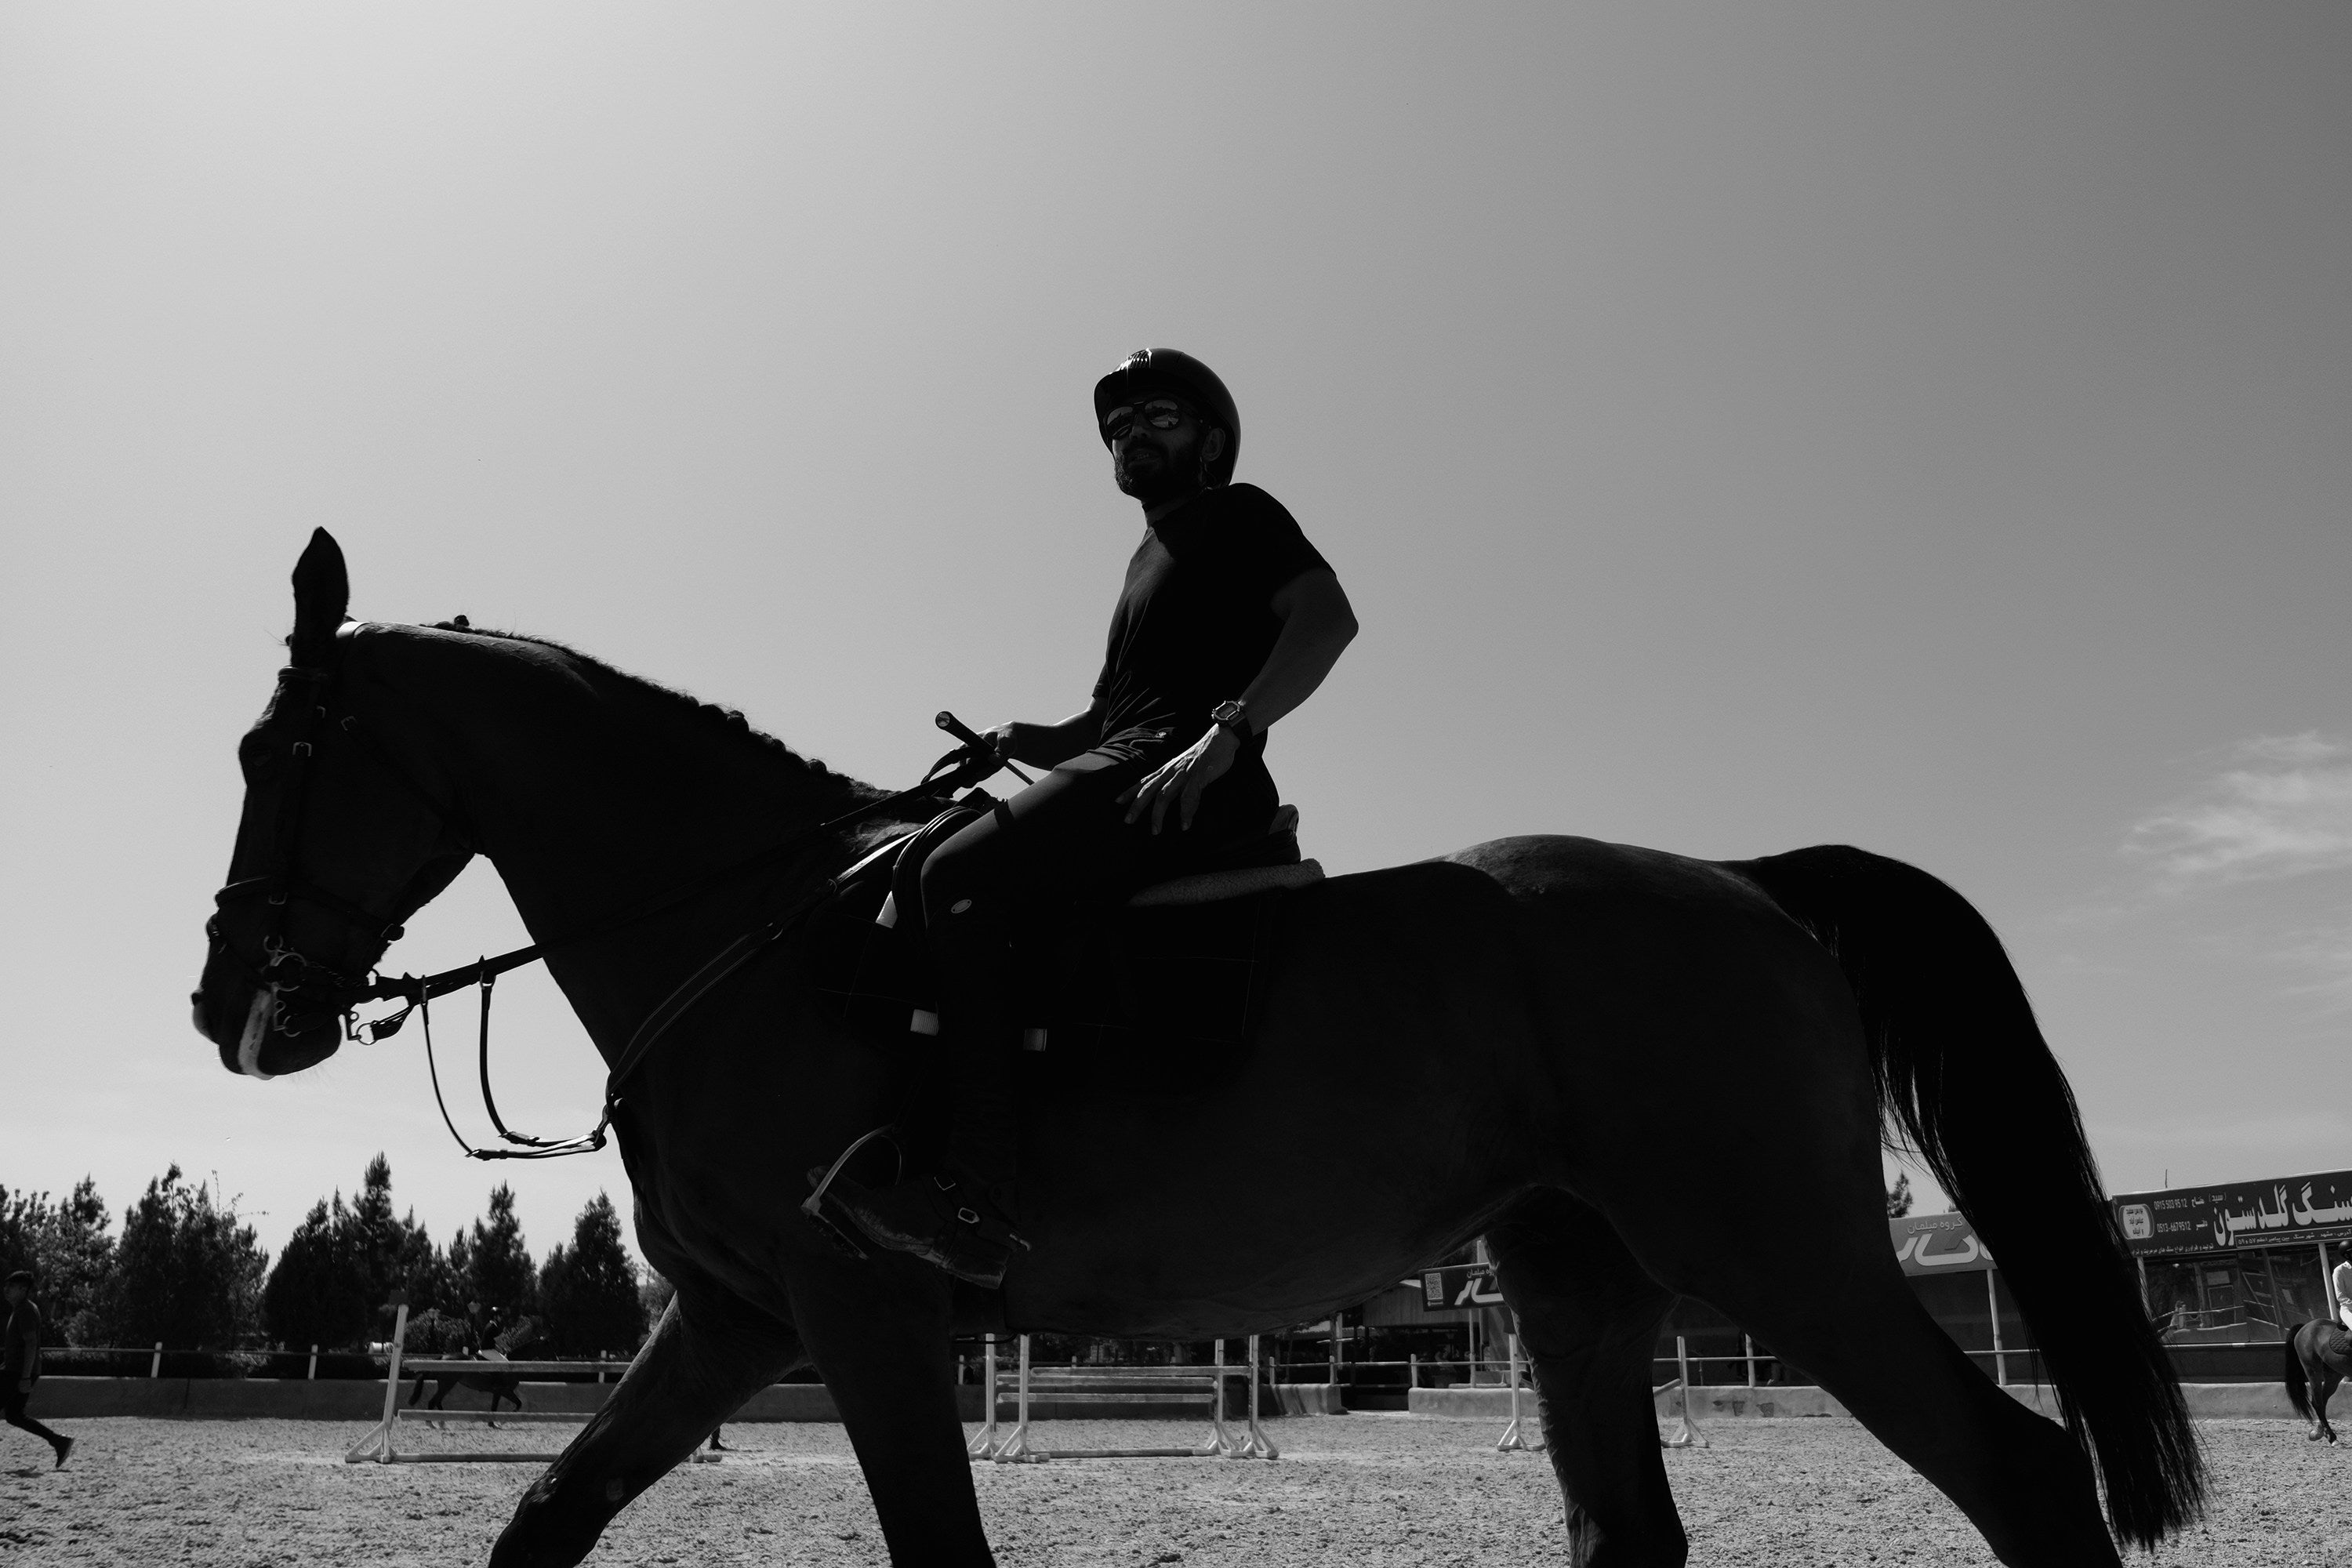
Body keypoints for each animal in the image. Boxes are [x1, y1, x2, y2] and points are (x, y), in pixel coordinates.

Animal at [191, 531, 2201, 1568]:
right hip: (1578, 1280)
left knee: (2024, 1479)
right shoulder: (741, 1315)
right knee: (1629, 1534)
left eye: (274, 754)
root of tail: (1745, 883)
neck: (752, 924)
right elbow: (545, 1517)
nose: (227, 1008)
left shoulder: (861, 1306)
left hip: (1781, 1254)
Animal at [2285, 1318, 2352, 1442]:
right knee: (2317, 1402)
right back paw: (2331, 1436)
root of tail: (2305, 1326)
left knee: (2323, 1401)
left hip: (2333, 1376)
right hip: (2313, 1370)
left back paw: (2319, 1432)